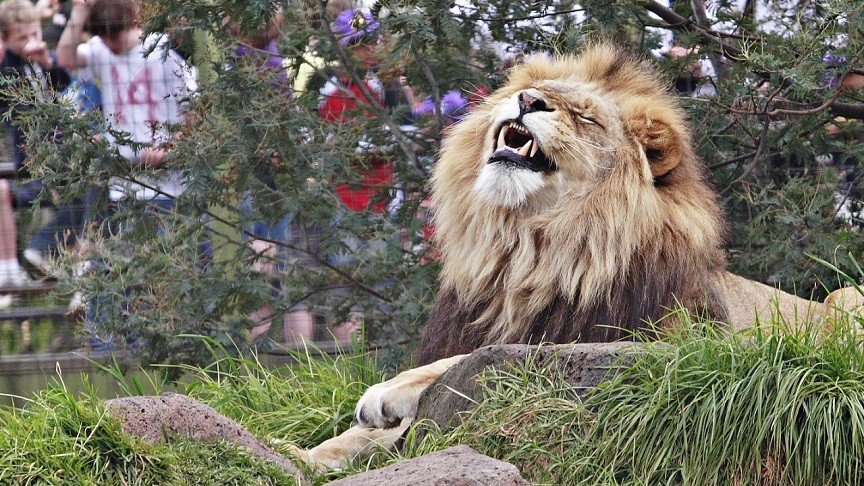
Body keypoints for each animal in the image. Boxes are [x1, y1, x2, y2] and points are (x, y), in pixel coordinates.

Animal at [293, 44, 864, 469]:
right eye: (530, 93)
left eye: (585, 116)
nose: (527, 100)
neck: (527, 253)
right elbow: (356, 440)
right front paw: (301, 454)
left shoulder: (669, 343)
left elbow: (471, 361)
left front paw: (387, 392)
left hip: (844, 297)